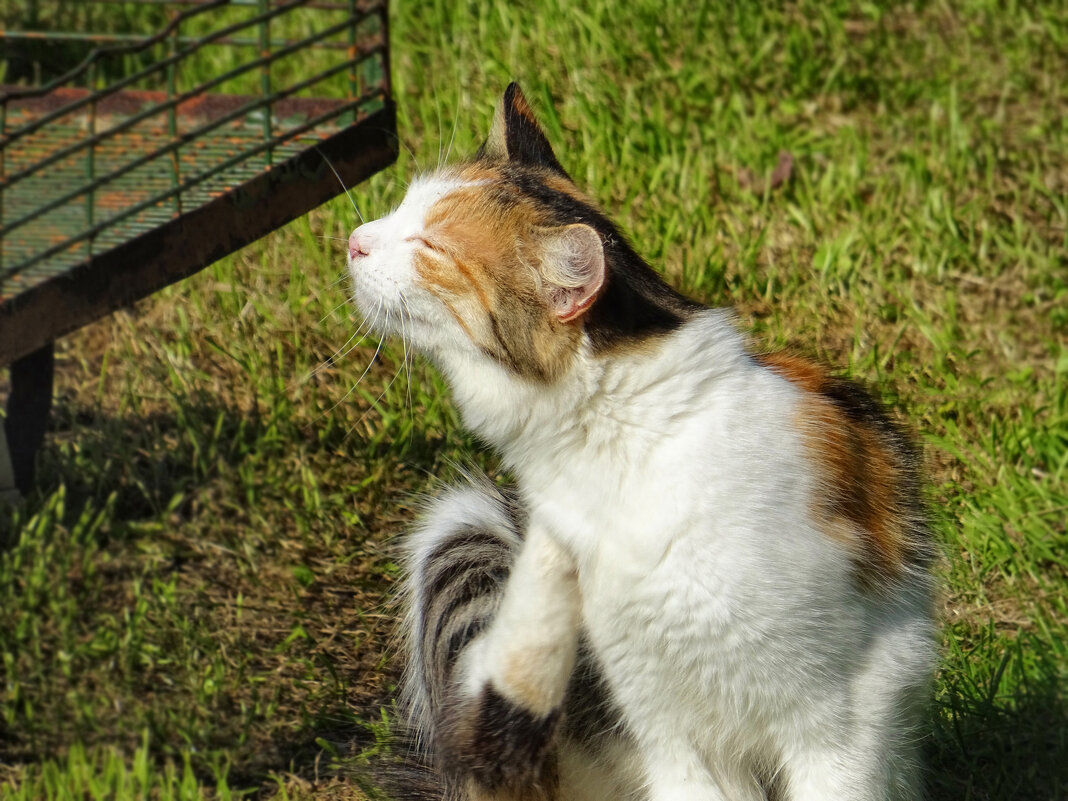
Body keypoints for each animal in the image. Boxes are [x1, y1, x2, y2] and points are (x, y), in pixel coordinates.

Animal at [348, 83, 935, 801]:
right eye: (402, 204)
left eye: (430, 244)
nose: (353, 240)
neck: (623, 444)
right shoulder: (667, 730)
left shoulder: (840, 713)